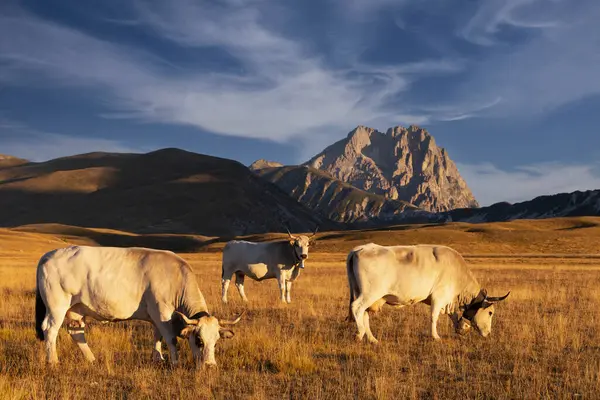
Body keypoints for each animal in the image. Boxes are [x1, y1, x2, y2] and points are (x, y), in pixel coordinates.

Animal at [33, 244, 241, 366]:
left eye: (216, 341)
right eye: (199, 340)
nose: (210, 366)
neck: (176, 278)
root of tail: (47, 256)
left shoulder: (157, 316)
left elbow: (157, 336)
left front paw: (158, 357)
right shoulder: (162, 312)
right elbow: (171, 338)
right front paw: (174, 362)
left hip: (76, 309)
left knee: (76, 332)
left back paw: (91, 359)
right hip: (57, 306)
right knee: (50, 330)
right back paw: (53, 361)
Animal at [346, 244, 510, 344]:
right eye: (490, 312)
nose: (488, 334)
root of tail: (359, 249)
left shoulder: (448, 300)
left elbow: (454, 315)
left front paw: (461, 328)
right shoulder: (439, 296)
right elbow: (434, 316)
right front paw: (435, 336)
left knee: (364, 314)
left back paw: (372, 339)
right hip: (370, 293)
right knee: (357, 308)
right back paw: (359, 333)